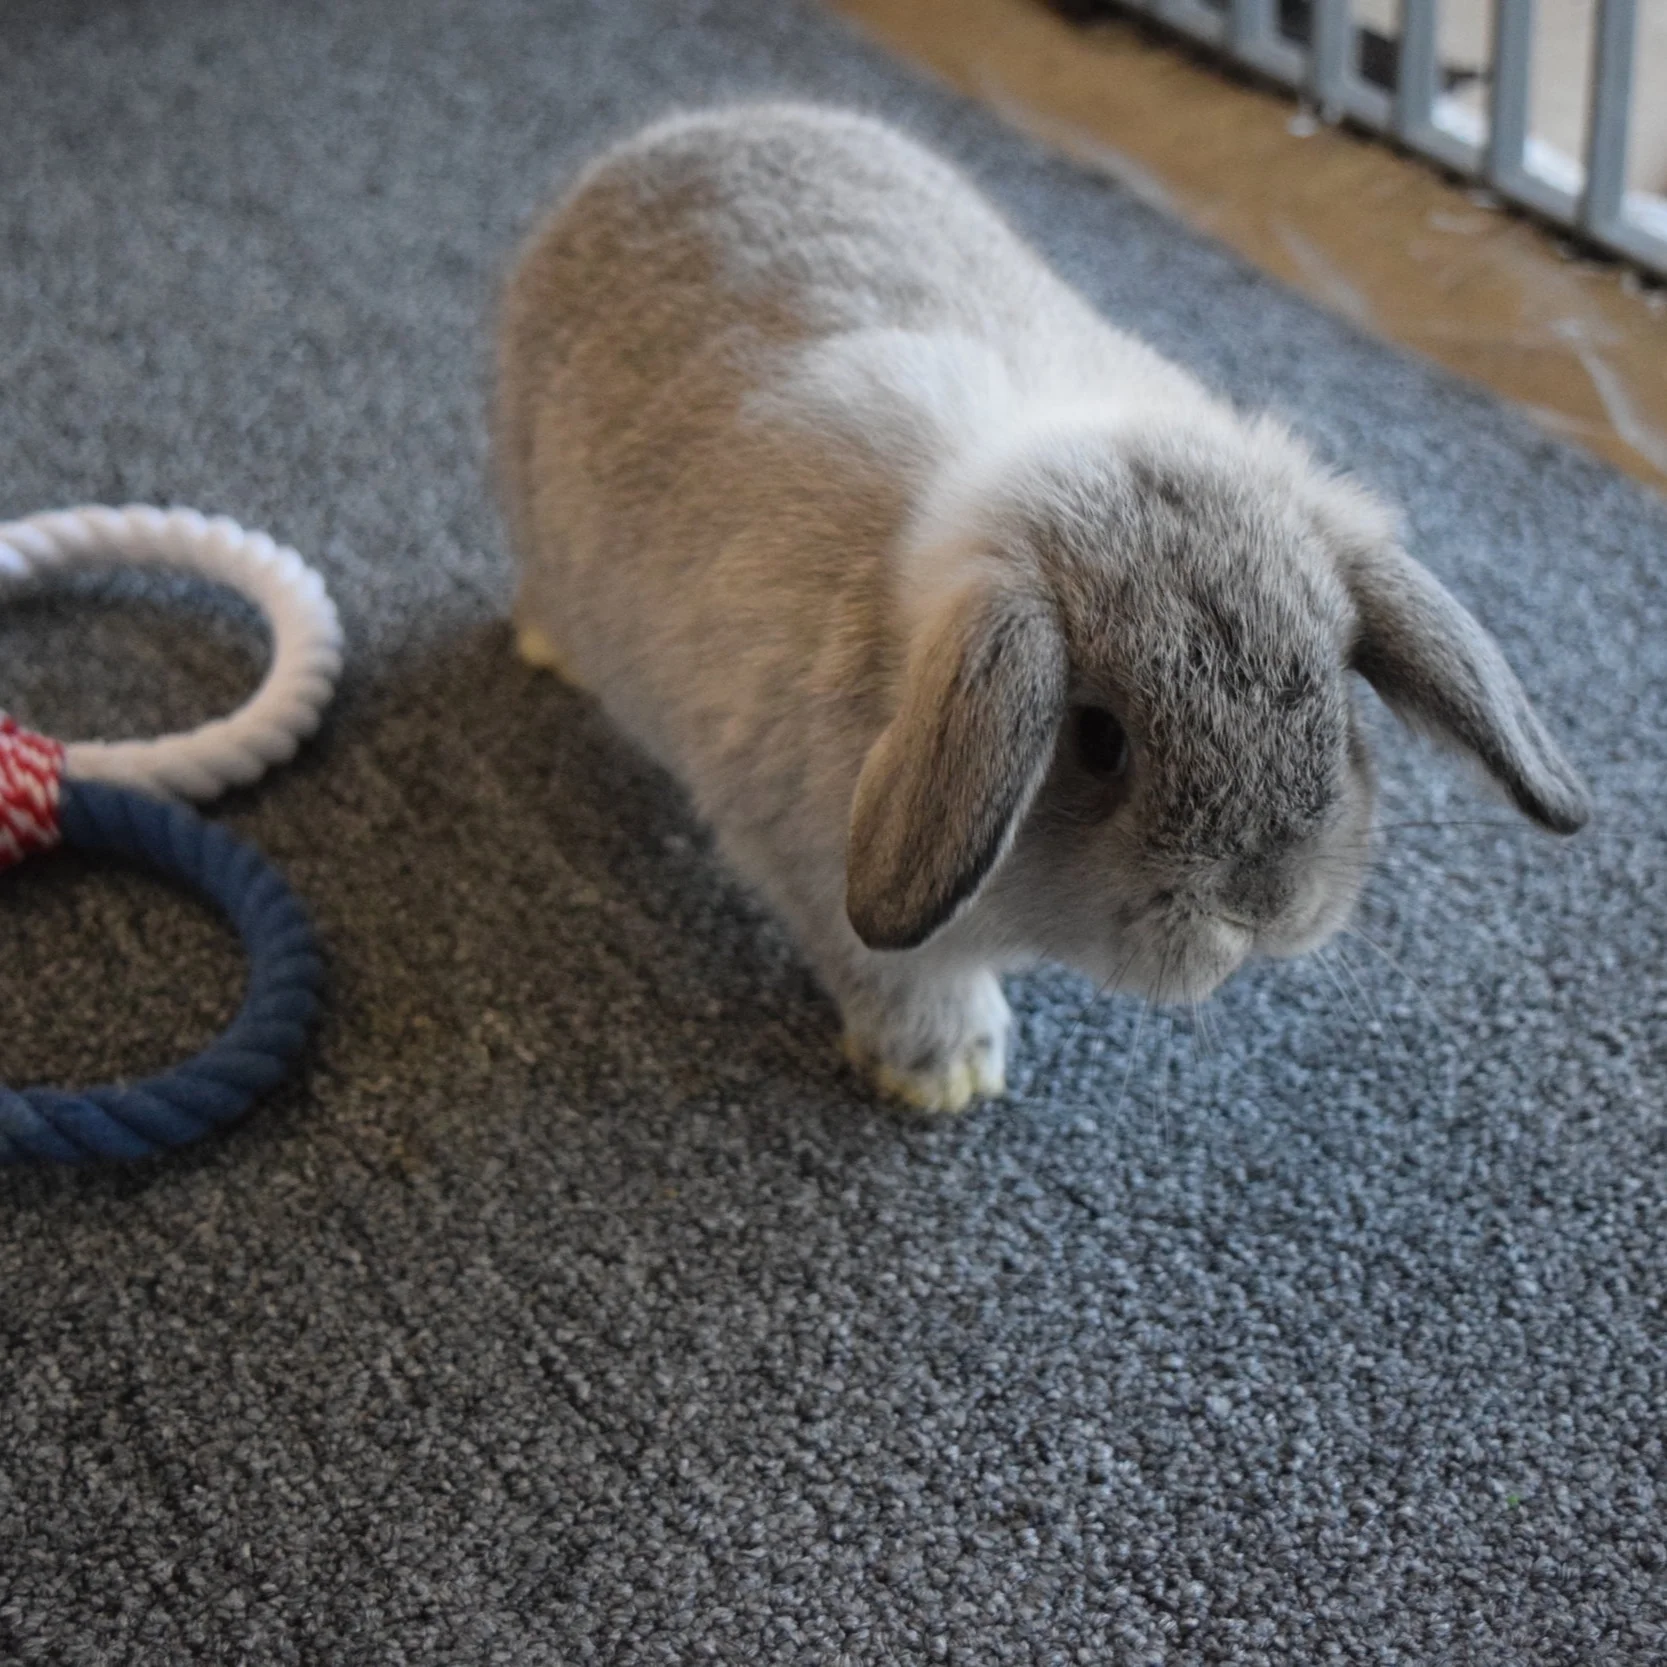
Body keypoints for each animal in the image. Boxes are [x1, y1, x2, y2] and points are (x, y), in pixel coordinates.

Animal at [493, 107, 1586, 1120]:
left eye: (1336, 707)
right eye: (1099, 740)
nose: (1264, 904)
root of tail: (671, 135)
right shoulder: (822, 878)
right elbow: (904, 977)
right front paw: (944, 1079)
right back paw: (547, 650)